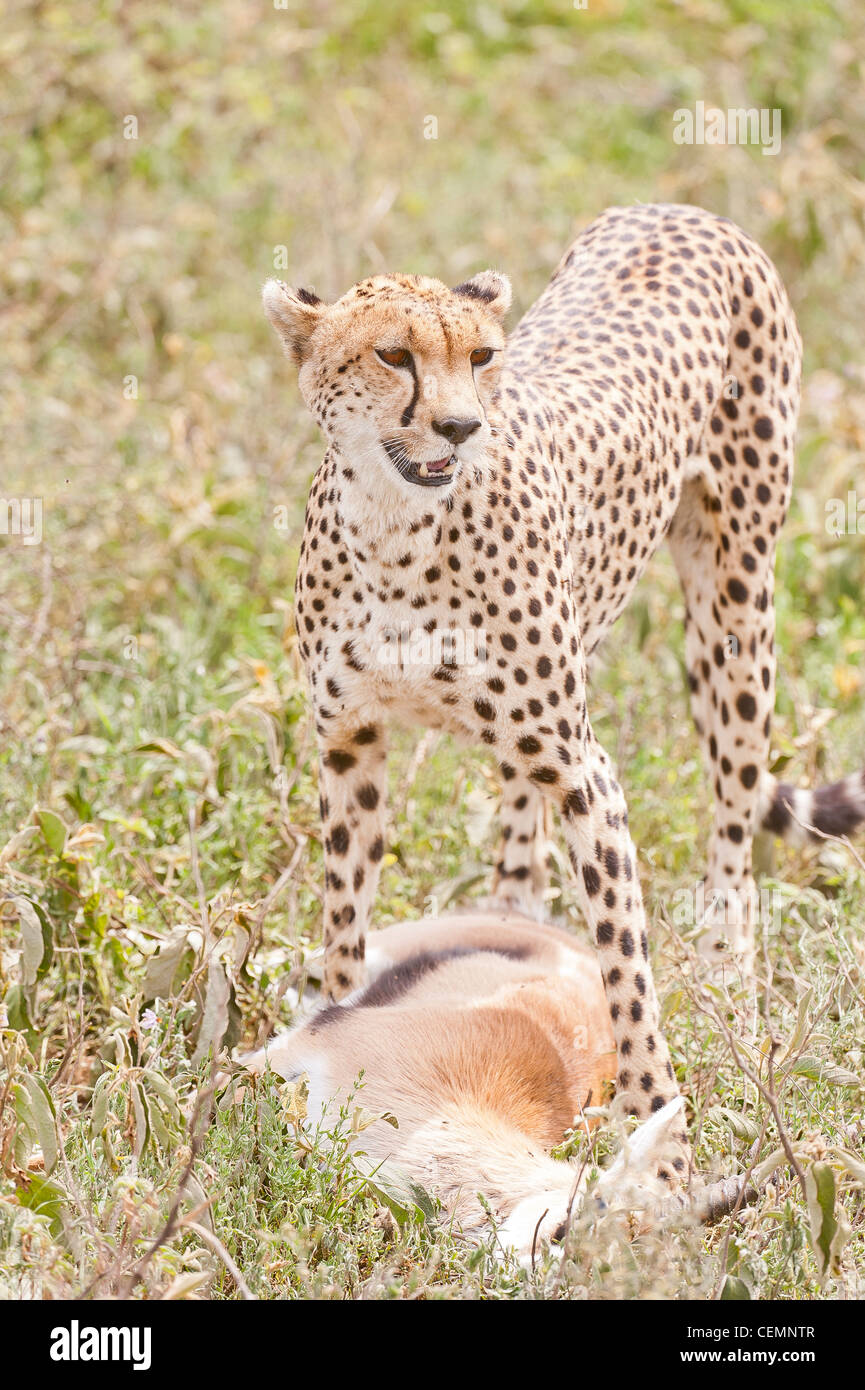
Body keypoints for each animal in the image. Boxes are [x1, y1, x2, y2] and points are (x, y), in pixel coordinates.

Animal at [264, 202, 865, 1173]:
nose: (460, 427)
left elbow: (625, 963)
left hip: (735, 607)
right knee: (521, 837)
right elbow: (345, 920)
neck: (396, 535)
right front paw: (341, 1029)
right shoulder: (349, 744)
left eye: (481, 356)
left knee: (732, 828)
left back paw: (732, 990)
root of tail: (679, 209)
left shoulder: (588, 773)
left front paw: (661, 1132)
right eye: (393, 355)